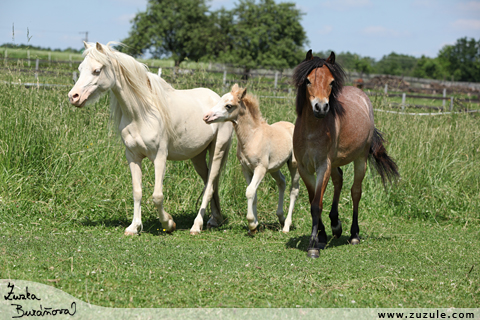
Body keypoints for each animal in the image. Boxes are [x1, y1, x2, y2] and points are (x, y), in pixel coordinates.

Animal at [68, 42, 232, 235]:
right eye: (80, 68)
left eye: (97, 70)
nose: (74, 97)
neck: (141, 114)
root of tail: (219, 100)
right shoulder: (133, 157)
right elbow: (137, 191)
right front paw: (133, 227)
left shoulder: (160, 157)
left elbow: (157, 196)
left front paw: (168, 223)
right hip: (197, 156)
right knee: (209, 182)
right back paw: (215, 219)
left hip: (217, 151)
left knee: (209, 185)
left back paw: (197, 226)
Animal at [202, 83, 300, 232]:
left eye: (229, 106)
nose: (206, 117)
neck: (252, 137)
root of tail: (292, 125)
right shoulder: (246, 168)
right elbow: (253, 193)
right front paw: (254, 224)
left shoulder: (260, 168)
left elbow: (249, 192)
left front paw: (251, 223)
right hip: (274, 168)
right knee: (282, 182)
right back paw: (281, 217)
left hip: (293, 164)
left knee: (294, 190)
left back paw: (287, 226)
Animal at [290, 50, 400, 260]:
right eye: (307, 80)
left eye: (332, 82)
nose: (321, 107)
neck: (311, 131)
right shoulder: (304, 168)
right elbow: (312, 200)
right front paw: (322, 236)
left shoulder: (323, 166)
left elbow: (317, 204)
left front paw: (313, 246)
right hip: (334, 163)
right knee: (339, 180)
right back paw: (335, 225)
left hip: (360, 160)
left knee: (356, 192)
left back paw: (354, 234)